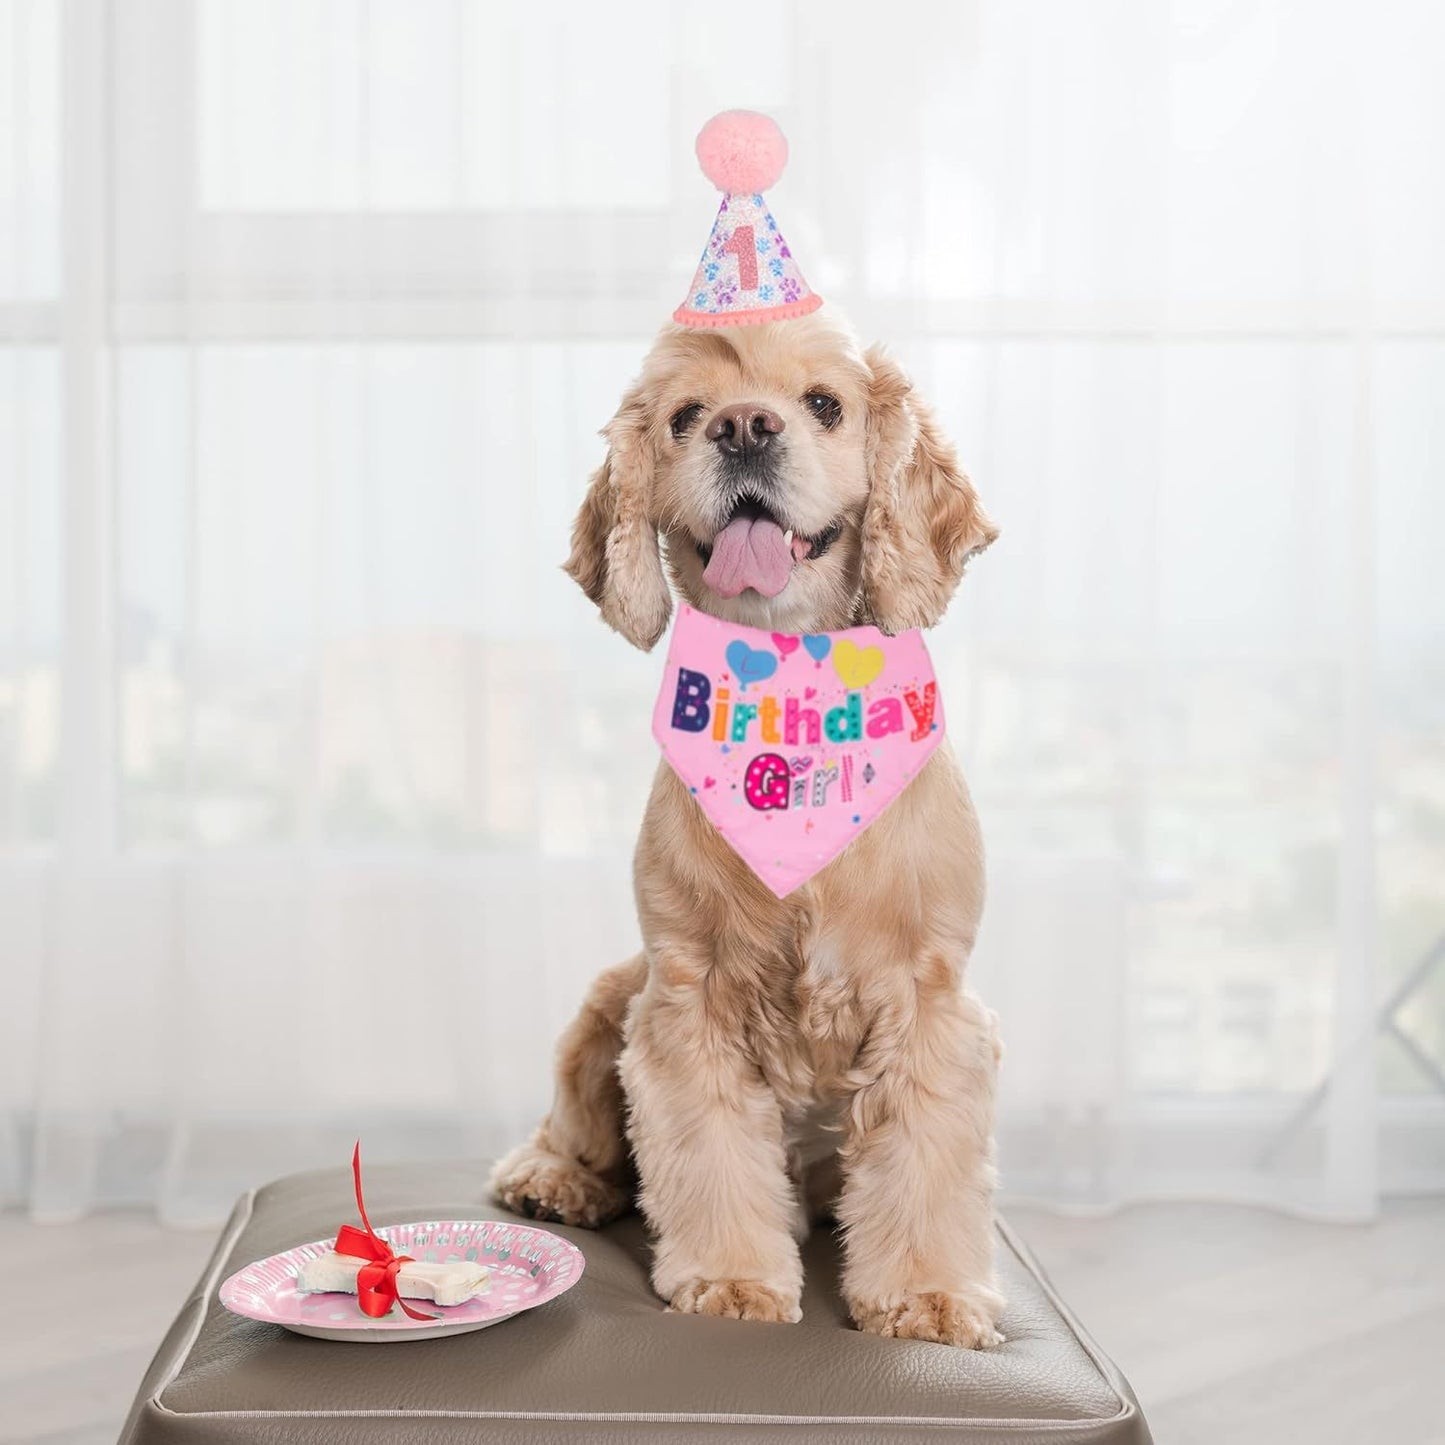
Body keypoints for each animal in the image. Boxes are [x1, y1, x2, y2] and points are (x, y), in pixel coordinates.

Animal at [491, 310, 999, 1346]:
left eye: (824, 404)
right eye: (686, 415)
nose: (743, 428)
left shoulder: (929, 1003)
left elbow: (924, 1160)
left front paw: (926, 1295)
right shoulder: (689, 995)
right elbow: (709, 1149)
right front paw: (731, 1280)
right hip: (609, 997)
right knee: (572, 1129)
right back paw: (555, 1180)